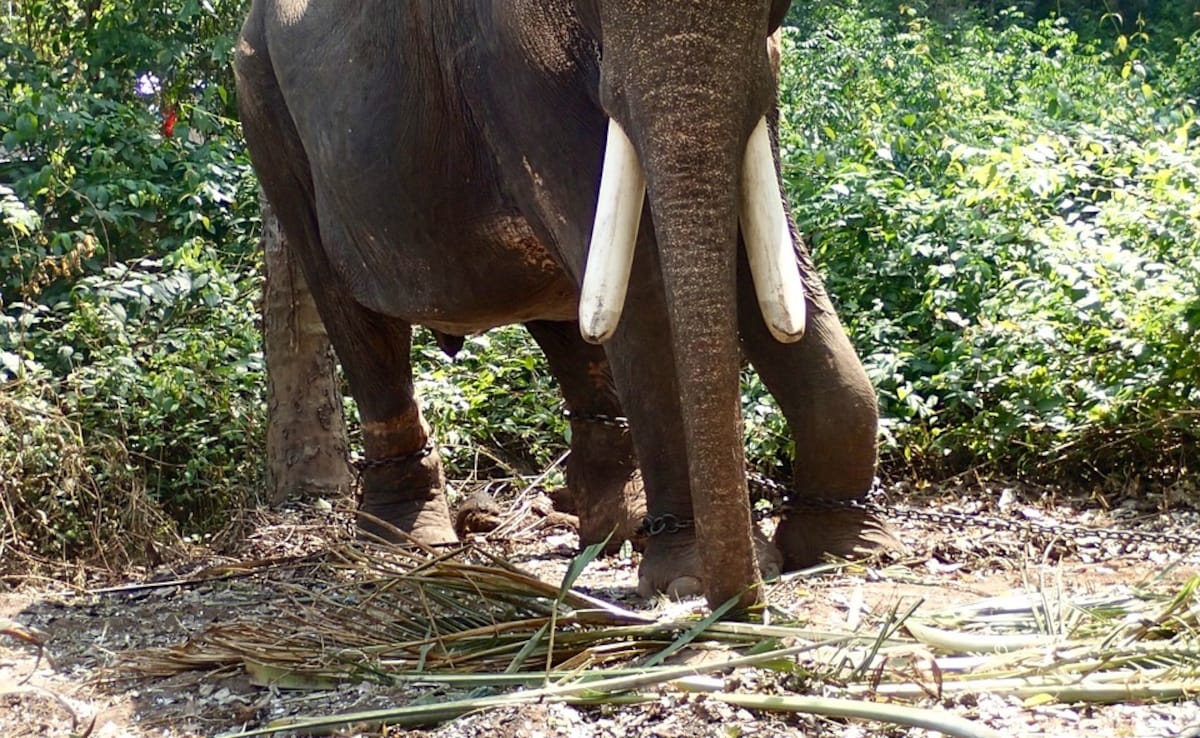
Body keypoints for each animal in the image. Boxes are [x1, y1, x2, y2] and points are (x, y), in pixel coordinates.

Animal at [234, 0, 887, 610]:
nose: (744, 596)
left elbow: (767, 253)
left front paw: (847, 548)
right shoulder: (514, 71)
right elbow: (646, 279)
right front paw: (689, 577)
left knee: (565, 319)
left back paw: (612, 526)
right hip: (265, 112)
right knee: (358, 320)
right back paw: (408, 539)